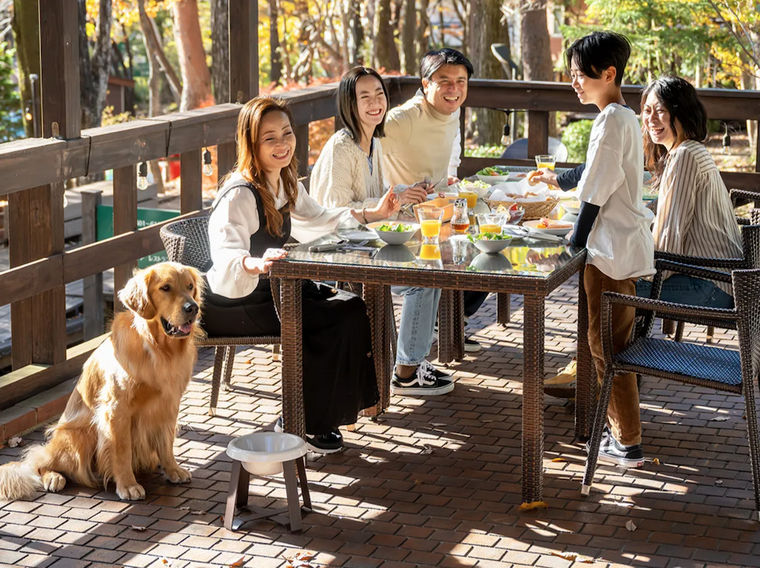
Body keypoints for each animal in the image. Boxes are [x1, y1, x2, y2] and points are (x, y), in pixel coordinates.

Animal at [0, 262, 203, 502]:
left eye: (190, 287)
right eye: (165, 288)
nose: (193, 308)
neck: (158, 349)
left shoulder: (168, 404)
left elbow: (166, 442)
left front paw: (172, 470)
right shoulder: (117, 409)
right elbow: (122, 451)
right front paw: (128, 485)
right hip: (79, 436)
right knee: (42, 462)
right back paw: (54, 477)